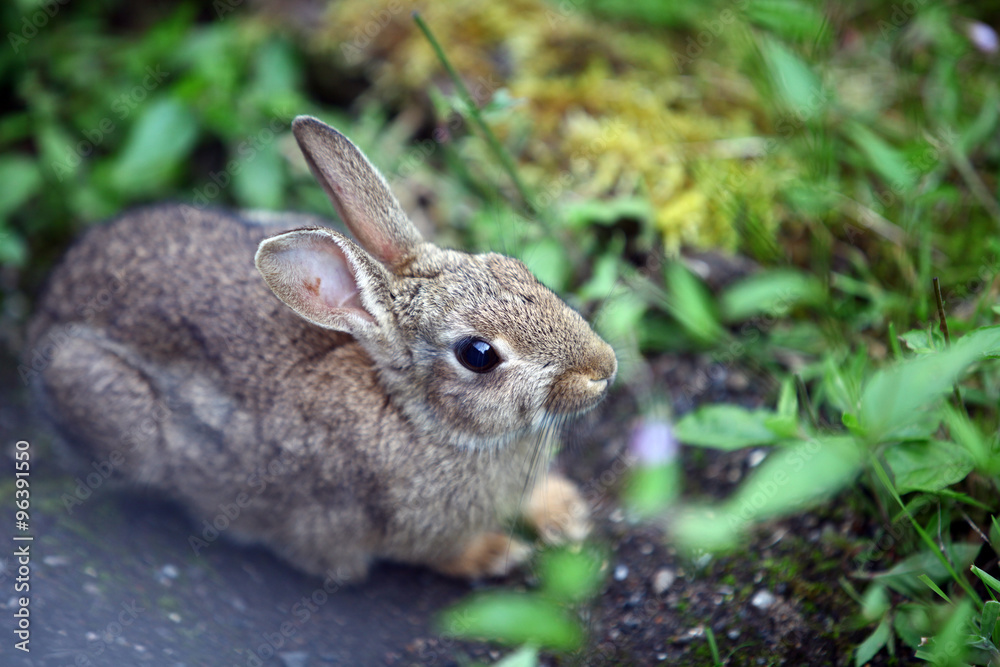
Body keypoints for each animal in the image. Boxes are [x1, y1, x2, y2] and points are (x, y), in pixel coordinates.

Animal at [25, 115, 617, 582]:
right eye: (478, 355)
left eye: (514, 267)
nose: (604, 368)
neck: (417, 417)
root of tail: (51, 301)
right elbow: (439, 555)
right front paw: (499, 553)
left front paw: (566, 514)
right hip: (102, 396)